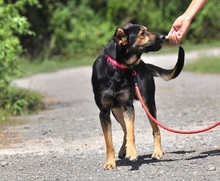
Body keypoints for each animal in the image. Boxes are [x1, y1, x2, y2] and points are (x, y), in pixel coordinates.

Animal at [90, 23, 184, 169]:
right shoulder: (104, 112)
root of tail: (145, 65)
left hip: (148, 104)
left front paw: (132, 152)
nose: (163, 36)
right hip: (117, 111)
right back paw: (123, 150)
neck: (117, 68)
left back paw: (157, 152)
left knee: (155, 130)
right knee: (124, 131)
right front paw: (110, 162)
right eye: (142, 34)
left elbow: (131, 133)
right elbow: (109, 142)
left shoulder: (128, 106)